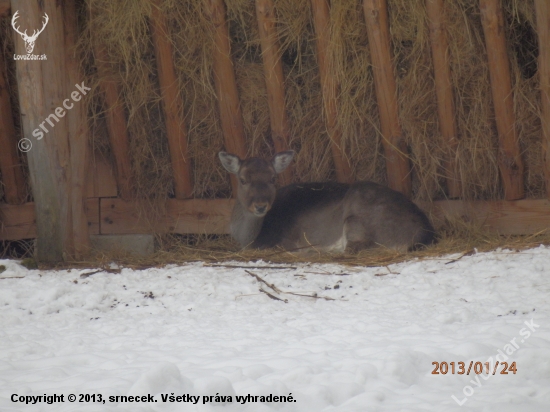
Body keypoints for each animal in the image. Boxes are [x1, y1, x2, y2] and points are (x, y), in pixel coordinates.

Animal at [218, 151, 438, 254]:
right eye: (243, 180)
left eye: (273, 178)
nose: (261, 205)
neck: (248, 236)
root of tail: (427, 234)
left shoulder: (282, 241)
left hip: (358, 221)